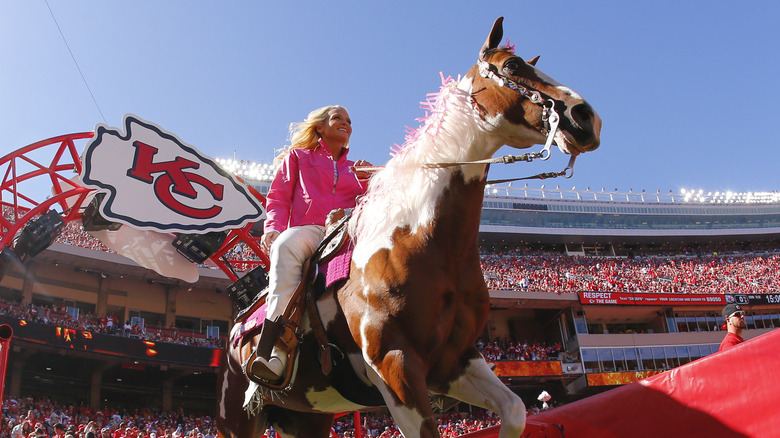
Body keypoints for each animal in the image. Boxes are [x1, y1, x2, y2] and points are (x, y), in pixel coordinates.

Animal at [216, 17, 600, 438]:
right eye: (512, 65)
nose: (586, 117)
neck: (421, 240)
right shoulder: (394, 364)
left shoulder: (455, 361)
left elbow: (514, 410)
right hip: (236, 416)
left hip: (305, 417)